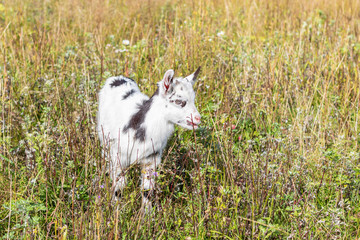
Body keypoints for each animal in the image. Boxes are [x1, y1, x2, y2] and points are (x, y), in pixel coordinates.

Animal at [97, 67, 201, 208]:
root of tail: (117, 77)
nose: (198, 118)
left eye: (194, 99)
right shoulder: (118, 157)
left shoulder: (151, 159)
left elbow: (147, 191)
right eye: (179, 102)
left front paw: (146, 213)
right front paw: (116, 210)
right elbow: (119, 188)